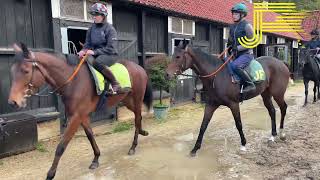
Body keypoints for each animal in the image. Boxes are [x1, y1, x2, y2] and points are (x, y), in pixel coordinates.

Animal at [7, 43, 152, 179]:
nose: (13, 102)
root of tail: (139, 68)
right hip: (127, 101)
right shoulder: (82, 116)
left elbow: (61, 146)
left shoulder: (76, 117)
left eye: (26, 71)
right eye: (12, 71)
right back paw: (142, 132)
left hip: (137, 98)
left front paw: (50, 174)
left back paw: (133, 146)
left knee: (137, 117)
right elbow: (90, 135)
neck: (73, 82)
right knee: (137, 116)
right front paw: (96, 159)